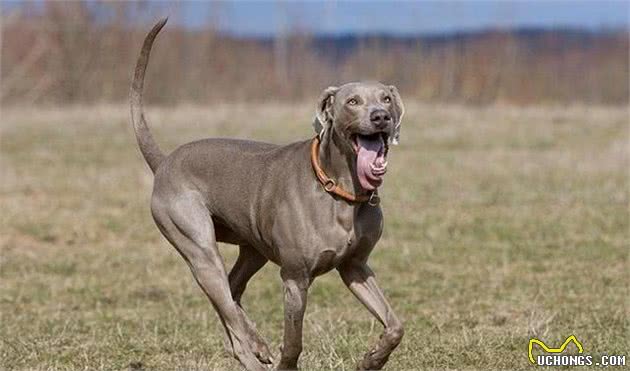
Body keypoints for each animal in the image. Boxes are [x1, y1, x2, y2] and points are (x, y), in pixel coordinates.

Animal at [131, 19, 408, 371]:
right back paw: (254, 347)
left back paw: (256, 344)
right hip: (199, 248)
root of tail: (164, 161)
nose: (380, 117)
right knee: (229, 314)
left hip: (253, 248)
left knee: (232, 294)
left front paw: (373, 359)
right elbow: (293, 342)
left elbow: (395, 325)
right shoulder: (295, 278)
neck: (341, 190)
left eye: (386, 98)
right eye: (353, 101)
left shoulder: (355, 266)